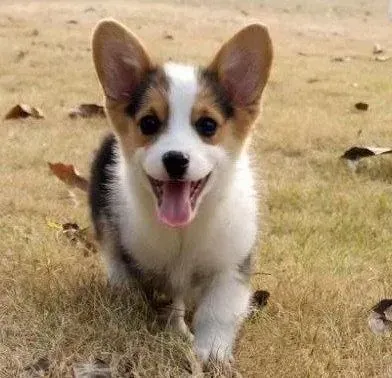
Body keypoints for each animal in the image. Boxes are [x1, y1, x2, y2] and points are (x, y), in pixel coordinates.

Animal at [89, 19, 272, 364]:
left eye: (208, 126)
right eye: (148, 123)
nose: (175, 160)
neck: (184, 231)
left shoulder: (231, 266)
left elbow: (218, 312)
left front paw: (212, 352)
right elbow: (161, 300)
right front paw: (176, 333)